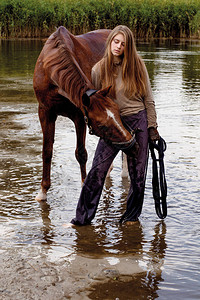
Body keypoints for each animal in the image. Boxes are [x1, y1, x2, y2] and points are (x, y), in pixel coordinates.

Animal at [33, 27, 137, 202]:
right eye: (102, 124)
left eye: (116, 112)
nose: (132, 144)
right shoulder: (45, 112)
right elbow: (47, 151)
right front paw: (43, 191)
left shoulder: (80, 117)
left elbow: (81, 153)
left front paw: (84, 185)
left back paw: (124, 172)